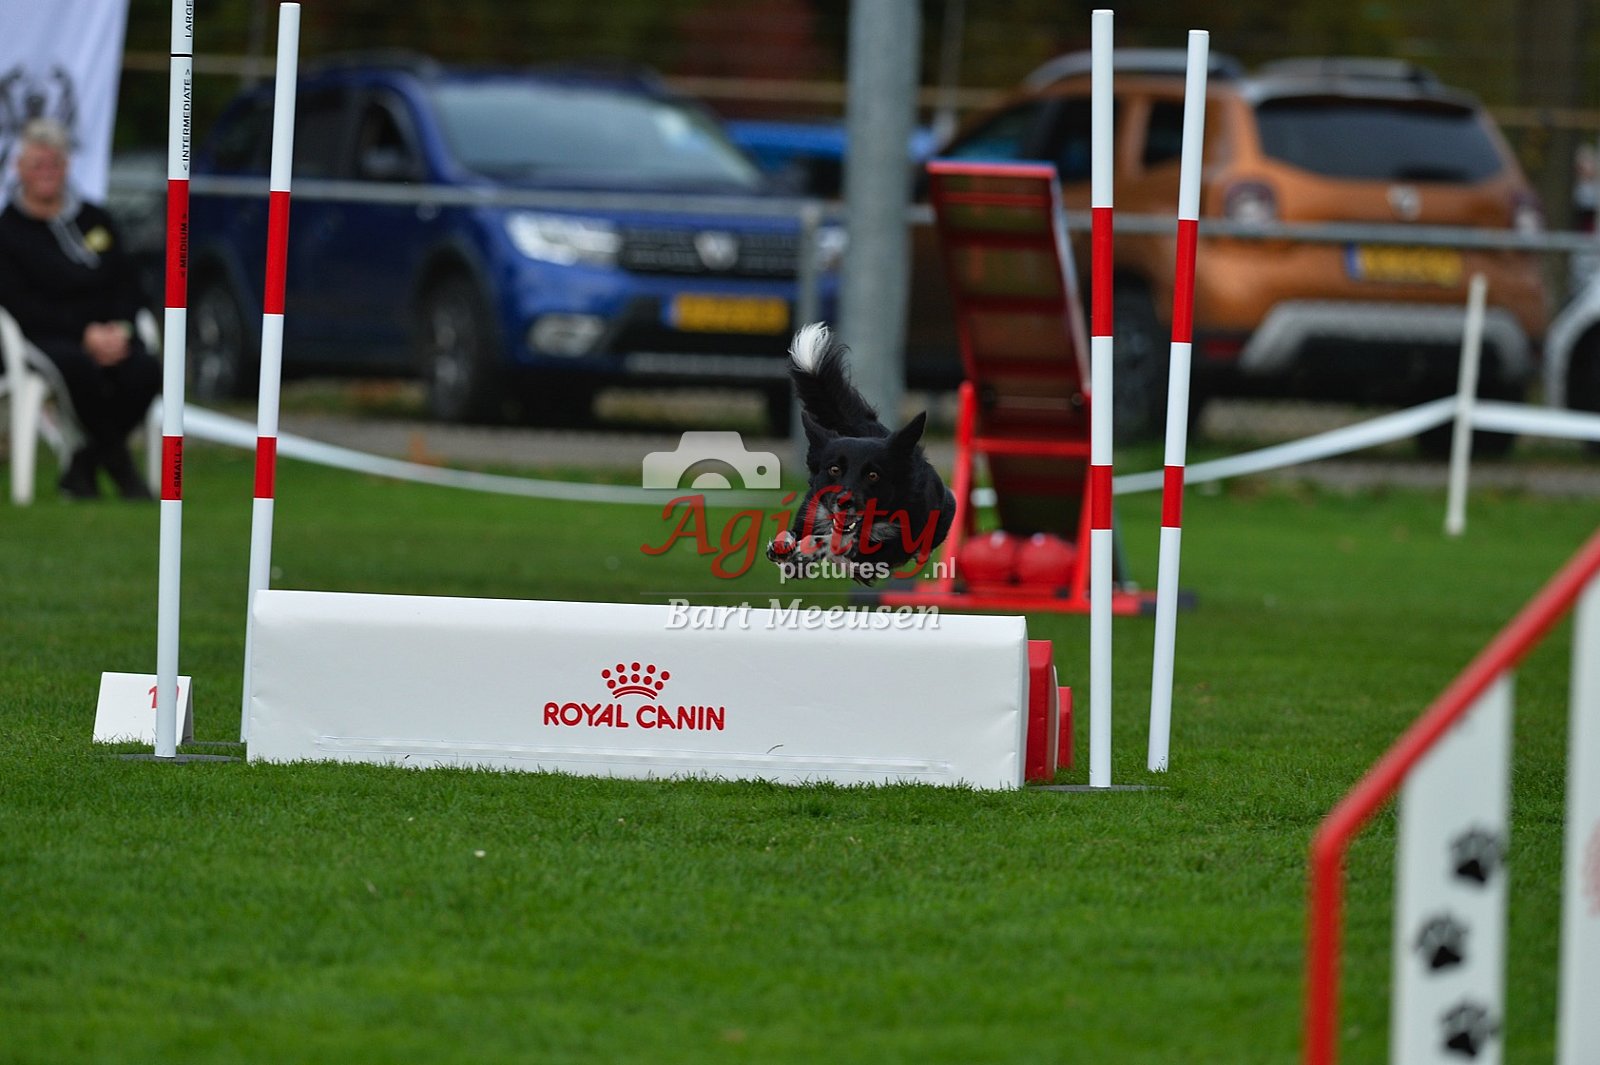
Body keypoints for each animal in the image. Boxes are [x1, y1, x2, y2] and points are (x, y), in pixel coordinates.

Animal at [766, 323, 955, 584]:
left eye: (873, 475)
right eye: (834, 469)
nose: (844, 502)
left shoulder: (879, 554)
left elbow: (838, 541)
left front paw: (808, 550)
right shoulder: (812, 515)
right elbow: (795, 539)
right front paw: (785, 548)